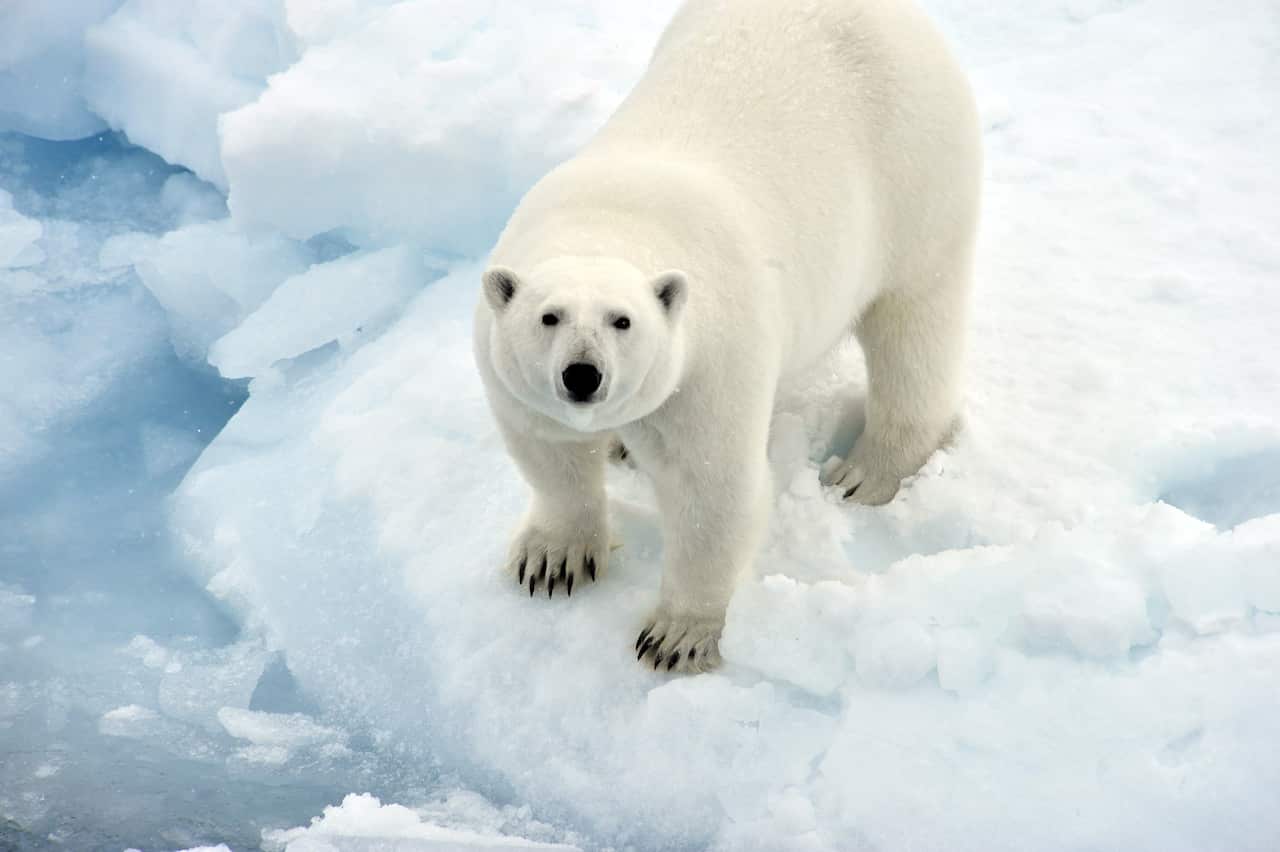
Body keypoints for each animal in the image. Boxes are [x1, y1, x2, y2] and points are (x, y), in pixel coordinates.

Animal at [473, 0, 982, 673]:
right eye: (548, 317)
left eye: (623, 320)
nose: (583, 375)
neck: (610, 219)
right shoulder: (514, 382)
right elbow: (548, 453)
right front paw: (553, 558)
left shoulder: (708, 365)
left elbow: (711, 489)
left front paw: (674, 637)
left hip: (915, 176)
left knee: (914, 329)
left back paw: (867, 471)